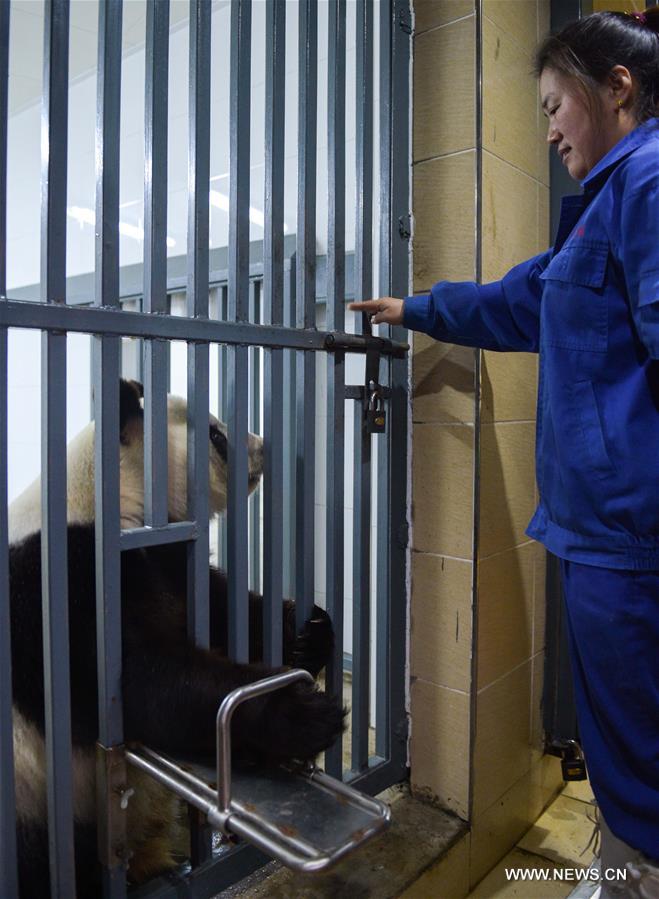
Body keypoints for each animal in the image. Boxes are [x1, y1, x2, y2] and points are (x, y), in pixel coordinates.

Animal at [9, 382, 346, 899]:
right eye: (215, 435)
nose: (262, 447)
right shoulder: (55, 590)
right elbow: (137, 682)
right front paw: (302, 711)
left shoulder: (165, 557)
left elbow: (219, 609)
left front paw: (308, 632)